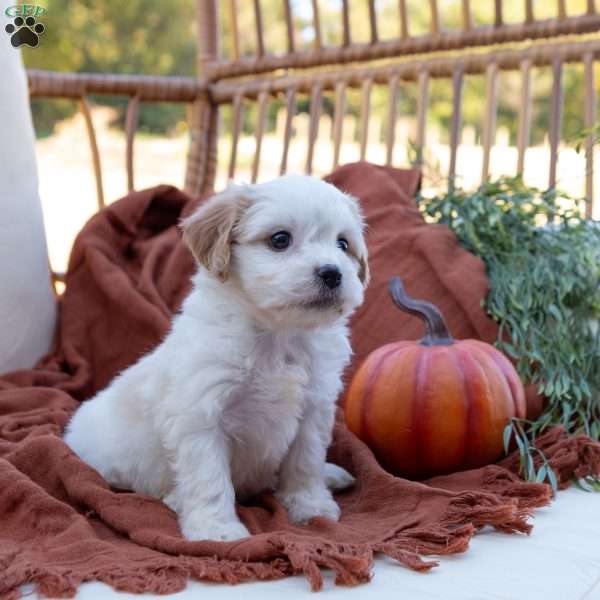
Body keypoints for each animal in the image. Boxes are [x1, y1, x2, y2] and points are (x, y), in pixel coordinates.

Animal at [63, 175, 368, 544]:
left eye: (343, 244)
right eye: (280, 240)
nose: (333, 273)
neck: (278, 335)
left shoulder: (313, 410)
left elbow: (305, 462)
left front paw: (311, 506)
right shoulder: (201, 416)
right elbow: (208, 477)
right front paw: (216, 530)